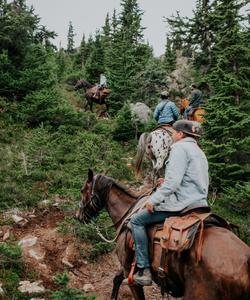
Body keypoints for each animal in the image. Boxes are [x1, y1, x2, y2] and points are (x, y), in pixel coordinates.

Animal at [75, 170, 250, 298]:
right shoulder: (125, 268)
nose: (77, 216)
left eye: (82, 190)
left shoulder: (130, 275)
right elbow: (116, 279)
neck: (127, 215)